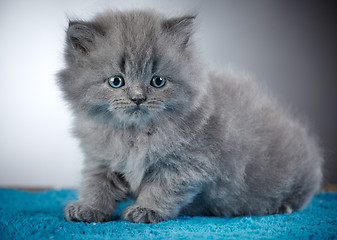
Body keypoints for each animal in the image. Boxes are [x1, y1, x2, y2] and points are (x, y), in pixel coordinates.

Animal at [57, 9, 322, 223]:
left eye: (157, 81)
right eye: (116, 81)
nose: (138, 98)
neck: (135, 134)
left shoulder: (187, 163)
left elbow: (161, 188)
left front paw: (146, 210)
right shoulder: (100, 159)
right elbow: (96, 184)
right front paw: (88, 208)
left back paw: (282, 207)